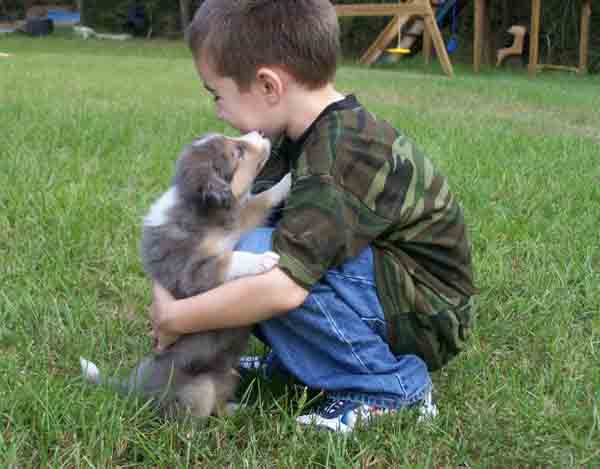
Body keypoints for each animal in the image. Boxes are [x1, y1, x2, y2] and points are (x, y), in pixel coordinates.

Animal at [81, 131, 292, 416]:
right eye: (237, 151)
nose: (260, 133)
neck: (200, 211)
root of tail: (133, 390)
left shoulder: (238, 219)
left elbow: (263, 199)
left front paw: (289, 179)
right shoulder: (191, 273)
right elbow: (227, 260)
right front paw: (263, 260)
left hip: (228, 376)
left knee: (220, 403)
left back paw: (237, 410)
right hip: (197, 390)